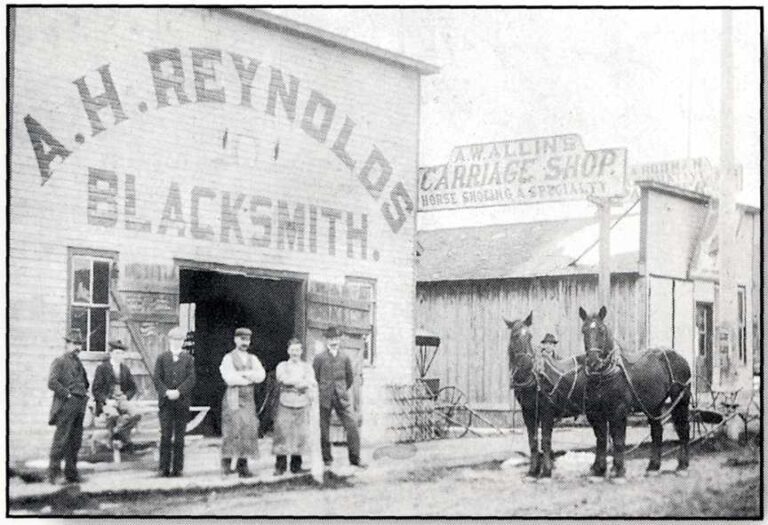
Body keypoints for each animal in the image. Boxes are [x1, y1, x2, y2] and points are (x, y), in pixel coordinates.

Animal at [504, 314, 588, 476]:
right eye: (514, 336)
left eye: (530, 336)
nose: (525, 364)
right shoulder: (528, 412)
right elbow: (533, 440)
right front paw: (533, 470)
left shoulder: (547, 412)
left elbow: (546, 439)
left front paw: (546, 471)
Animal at [580, 304, 692, 476]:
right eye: (584, 331)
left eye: (602, 330)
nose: (593, 362)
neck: (604, 375)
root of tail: (680, 358)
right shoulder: (595, 412)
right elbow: (601, 439)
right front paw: (599, 469)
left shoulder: (618, 411)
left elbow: (618, 440)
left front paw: (618, 469)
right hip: (653, 405)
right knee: (657, 430)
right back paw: (653, 466)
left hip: (680, 401)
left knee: (683, 428)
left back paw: (682, 465)